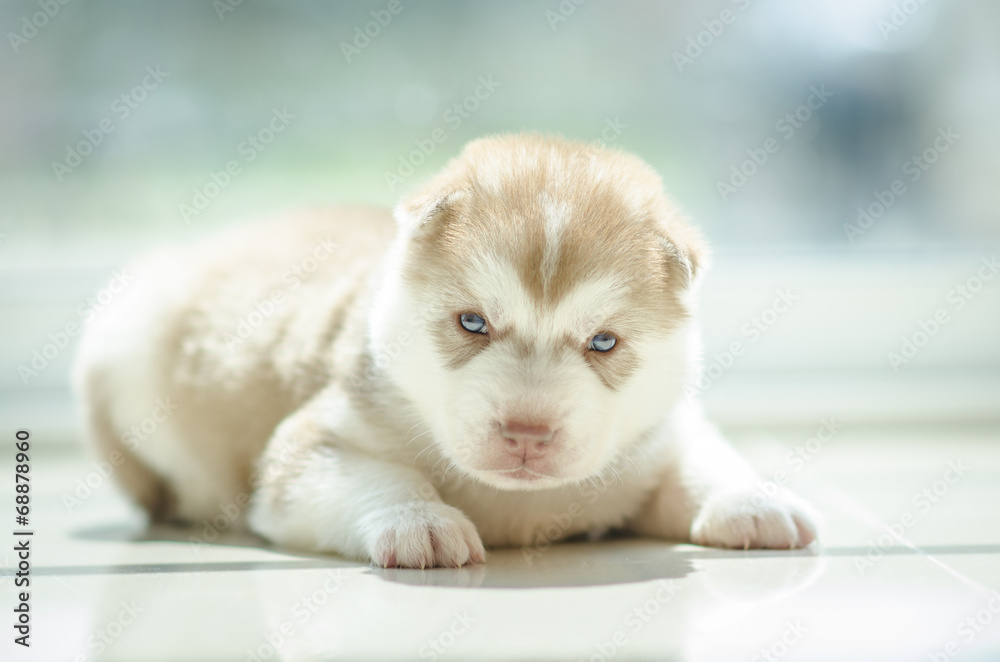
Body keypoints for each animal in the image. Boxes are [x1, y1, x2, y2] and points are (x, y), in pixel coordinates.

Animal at [74, 136, 816, 572]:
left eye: (604, 341)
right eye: (473, 323)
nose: (527, 433)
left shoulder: (660, 432)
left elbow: (704, 459)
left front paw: (754, 500)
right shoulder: (312, 444)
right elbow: (382, 477)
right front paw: (421, 522)